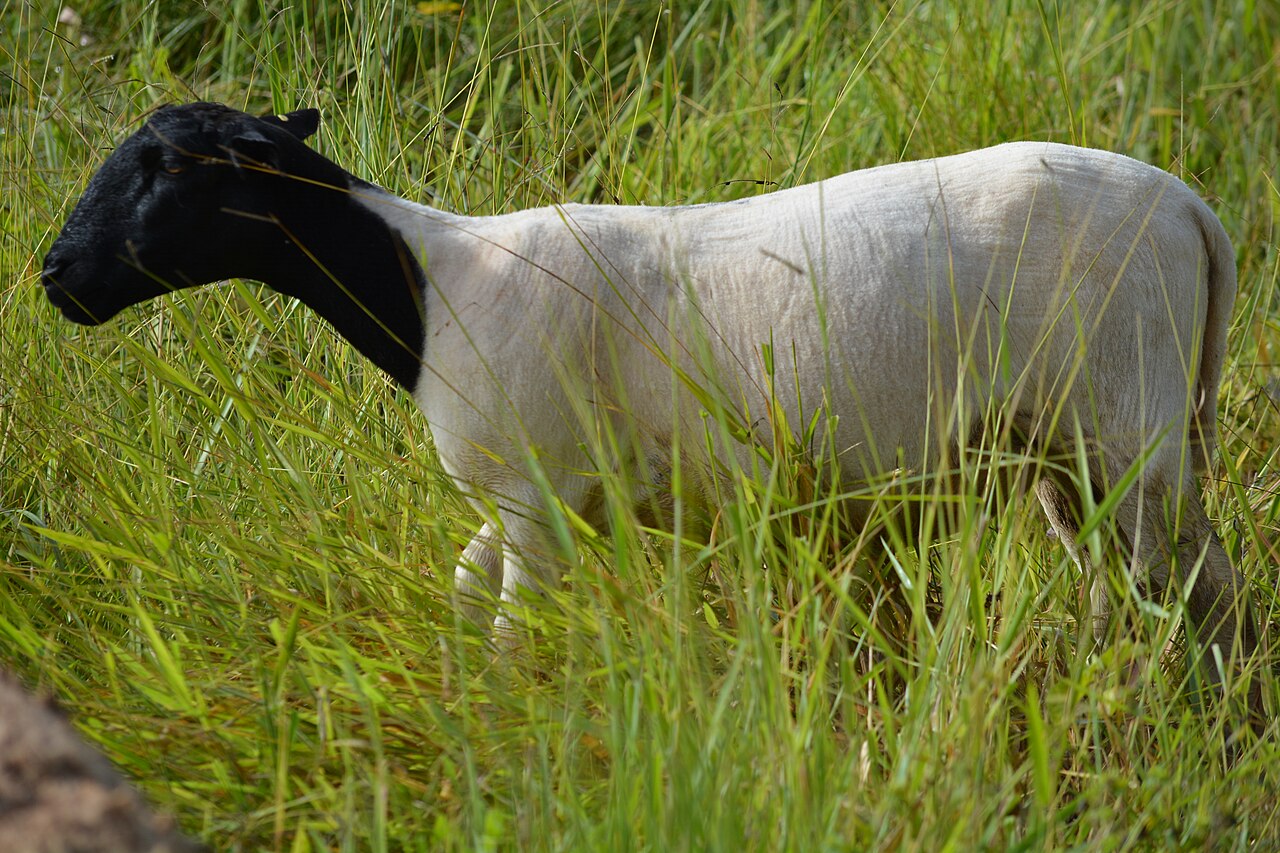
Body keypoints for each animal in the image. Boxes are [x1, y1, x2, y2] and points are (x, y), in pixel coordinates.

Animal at [42, 102, 1262, 727]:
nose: (55, 275)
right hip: (1076, 449)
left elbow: (505, 630)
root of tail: (1191, 209)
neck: (430, 283)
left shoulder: (535, 502)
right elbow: (462, 588)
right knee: (1146, 589)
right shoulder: (530, 501)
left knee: (1190, 590)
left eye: (165, 165)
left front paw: (502, 734)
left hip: (1126, 425)